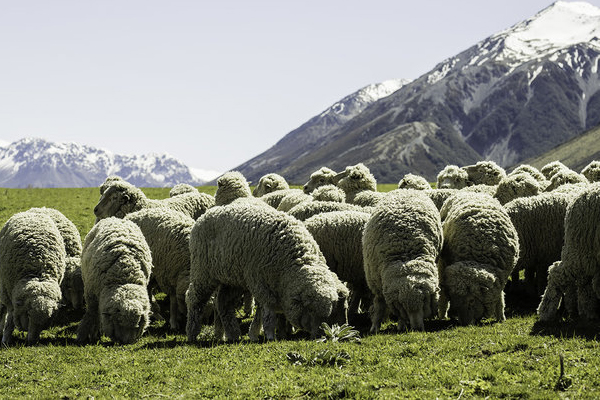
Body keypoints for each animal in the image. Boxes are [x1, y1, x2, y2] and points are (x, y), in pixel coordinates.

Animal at [0, 211, 66, 345]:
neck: (38, 276)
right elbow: (9, 320)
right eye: (29, 315)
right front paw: (6, 339)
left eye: (47, 318)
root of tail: (32, 211)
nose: (33, 342)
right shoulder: (9, 294)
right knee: (3, 309)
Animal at [186, 198, 348, 342]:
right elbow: (268, 311)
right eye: (310, 309)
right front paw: (269, 334)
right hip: (203, 272)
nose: (321, 336)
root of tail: (205, 214)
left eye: (329, 312)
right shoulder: (260, 282)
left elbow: (261, 311)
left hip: (233, 278)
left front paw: (255, 333)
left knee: (223, 302)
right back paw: (192, 333)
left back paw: (233, 334)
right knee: (194, 298)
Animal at [362, 190, 442, 332]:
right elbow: (379, 307)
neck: (406, 259)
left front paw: (401, 324)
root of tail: (406, 190)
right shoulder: (377, 285)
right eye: (404, 306)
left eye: (424, 302)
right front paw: (375, 327)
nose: (417, 329)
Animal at [438, 192, 519, 325]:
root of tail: (468, 191)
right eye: (454, 300)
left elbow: (500, 296)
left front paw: (501, 317)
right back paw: (442, 314)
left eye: (471, 300)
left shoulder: (502, 276)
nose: (465, 324)